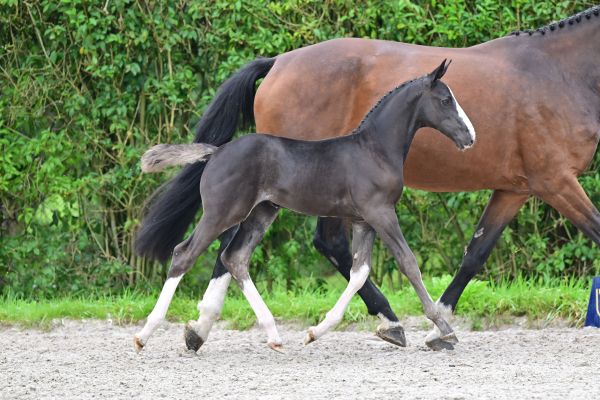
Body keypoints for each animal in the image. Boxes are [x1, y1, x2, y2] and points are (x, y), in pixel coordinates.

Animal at [134, 60, 476, 354]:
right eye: (445, 100)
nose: (471, 136)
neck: (374, 150)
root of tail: (215, 152)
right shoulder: (381, 213)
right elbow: (408, 263)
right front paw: (445, 329)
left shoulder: (364, 221)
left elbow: (359, 273)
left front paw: (317, 331)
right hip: (222, 213)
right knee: (184, 254)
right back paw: (144, 334)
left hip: (261, 213)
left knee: (235, 258)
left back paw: (272, 335)